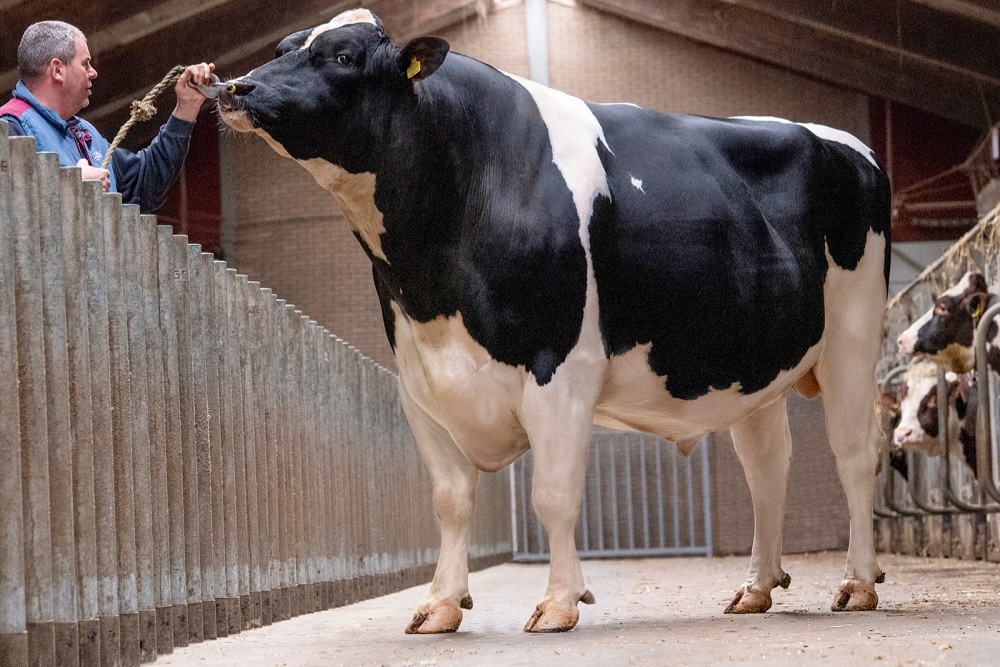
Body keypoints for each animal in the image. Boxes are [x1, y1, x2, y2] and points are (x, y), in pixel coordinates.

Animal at [217, 7, 892, 636]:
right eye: (281, 48)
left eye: (344, 56)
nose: (234, 88)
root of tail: (851, 146)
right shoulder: (420, 382)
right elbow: (450, 500)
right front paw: (440, 604)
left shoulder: (562, 370)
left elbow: (554, 494)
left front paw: (560, 602)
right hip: (755, 368)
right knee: (766, 468)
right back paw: (756, 588)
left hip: (853, 337)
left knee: (855, 453)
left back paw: (858, 583)